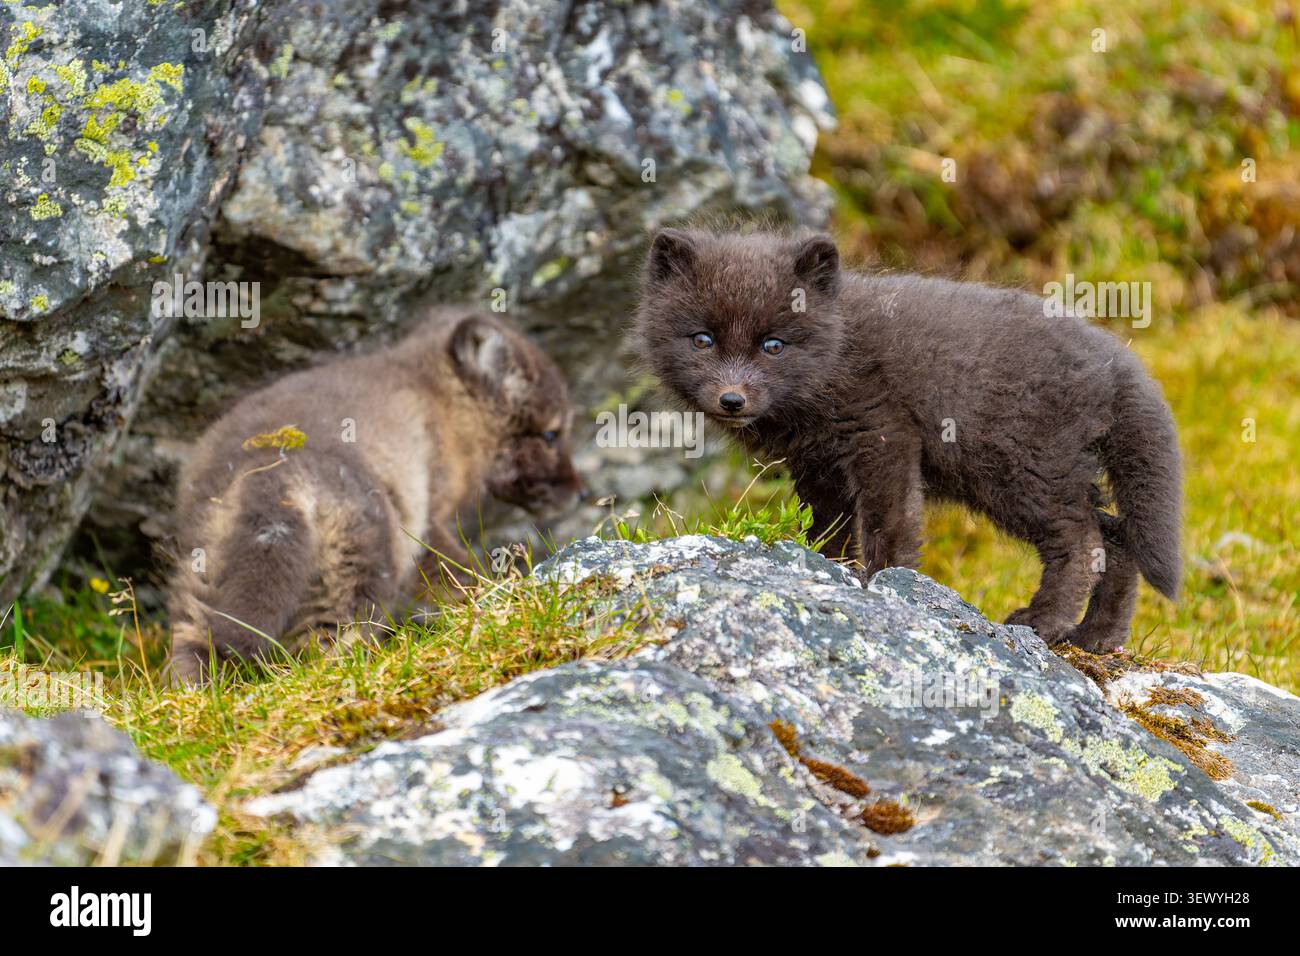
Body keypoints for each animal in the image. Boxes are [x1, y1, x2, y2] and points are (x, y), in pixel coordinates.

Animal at [166, 306, 582, 683]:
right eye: (552, 433)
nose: (579, 493)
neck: (438, 400)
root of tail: (278, 477)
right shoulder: (427, 515)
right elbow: (456, 570)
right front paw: (493, 593)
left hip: (201, 569)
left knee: (195, 640)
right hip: (364, 565)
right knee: (329, 645)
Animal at [632, 226, 1182, 653]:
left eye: (773, 345)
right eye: (702, 340)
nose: (732, 399)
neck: (836, 355)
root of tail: (1116, 357)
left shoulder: (884, 435)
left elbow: (889, 526)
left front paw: (883, 585)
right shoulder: (818, 466)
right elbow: (828, 532)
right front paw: (828, 570)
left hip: (1024, 468)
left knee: (1082, 539)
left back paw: (1043, 621)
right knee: (1118, 539)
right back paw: (1097, 637)